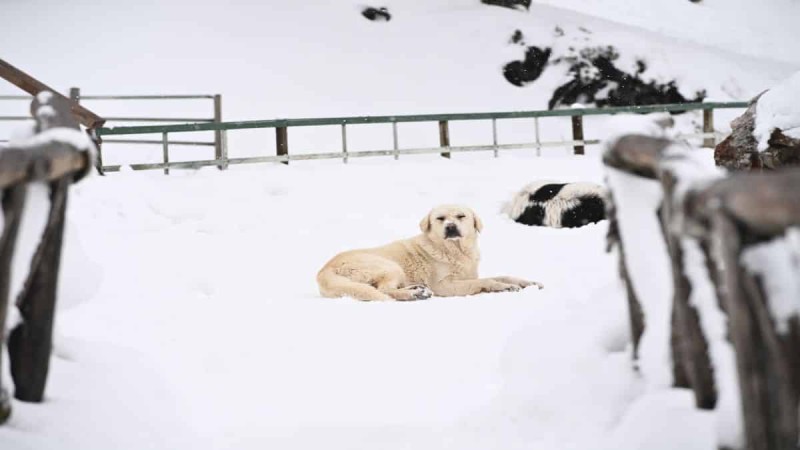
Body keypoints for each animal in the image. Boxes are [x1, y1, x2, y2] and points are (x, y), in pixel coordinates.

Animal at [316, 206, 540, 300]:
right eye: (440, 218)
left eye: (461, 216)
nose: (450, 227)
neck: (454, 251)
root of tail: (323, 271)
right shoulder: (444, 286)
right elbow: (485, 281)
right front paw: (502, 287)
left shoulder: (468, 274)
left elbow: (503, 275)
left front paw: (527, 282)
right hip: (389, 266)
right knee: (384, 291)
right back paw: (414, 294)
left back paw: (417, 289)